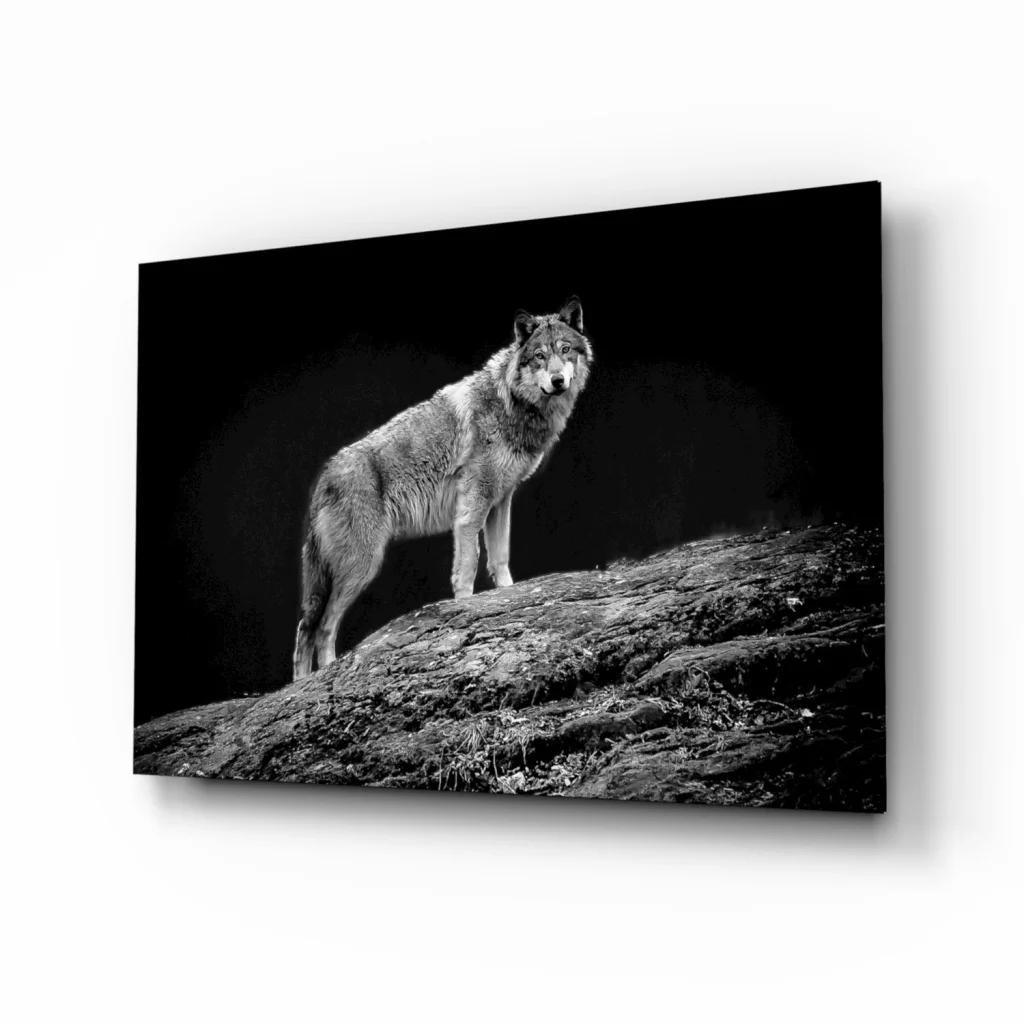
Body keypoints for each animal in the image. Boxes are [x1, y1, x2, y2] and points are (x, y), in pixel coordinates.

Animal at [292, 295, 593, 679]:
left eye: (565, 350)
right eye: (539, 356)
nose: (557, 380)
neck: (511, 402)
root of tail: (323, 477)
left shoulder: (501, 501)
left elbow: (500, 559)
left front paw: (509, 597)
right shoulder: (471, 509)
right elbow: (468, 565)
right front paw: (465, 608)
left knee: (305, 628)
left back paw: (299, 685)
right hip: (362, 566)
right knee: (321, 628)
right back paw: (322, 677)